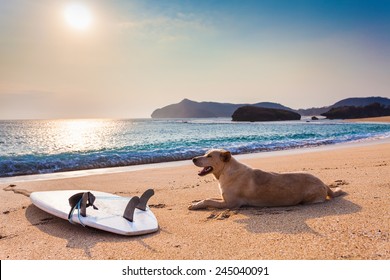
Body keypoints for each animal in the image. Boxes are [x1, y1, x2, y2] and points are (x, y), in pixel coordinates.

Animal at [189, 149, 344, 210]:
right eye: (205, 153)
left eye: (209, 156)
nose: (193, 159)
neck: (226, 170)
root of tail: (323, 183)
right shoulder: (224, 198)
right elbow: (208, 197)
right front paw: (196, 202)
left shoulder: (231, 204)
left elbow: (208, 200)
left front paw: (196, 205)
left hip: (309, 198)